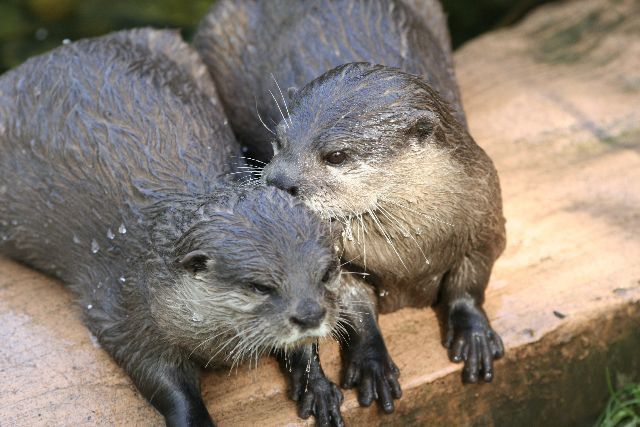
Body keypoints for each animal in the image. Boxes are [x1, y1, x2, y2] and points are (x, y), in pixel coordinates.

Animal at [0, 28, 348, 426]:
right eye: (260, 286)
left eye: (326, 274)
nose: (310, 314)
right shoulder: (128, 309)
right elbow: (163, 381)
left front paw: (316, 384)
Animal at [195, 0, 504, 414]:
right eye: (278, 141)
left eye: (336, 155)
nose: (277, 180)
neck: (413, 252)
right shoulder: (339, 264)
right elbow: (353, 308)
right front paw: (372, 361)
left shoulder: (485, 216)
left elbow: (471, 281)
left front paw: (473, 334)